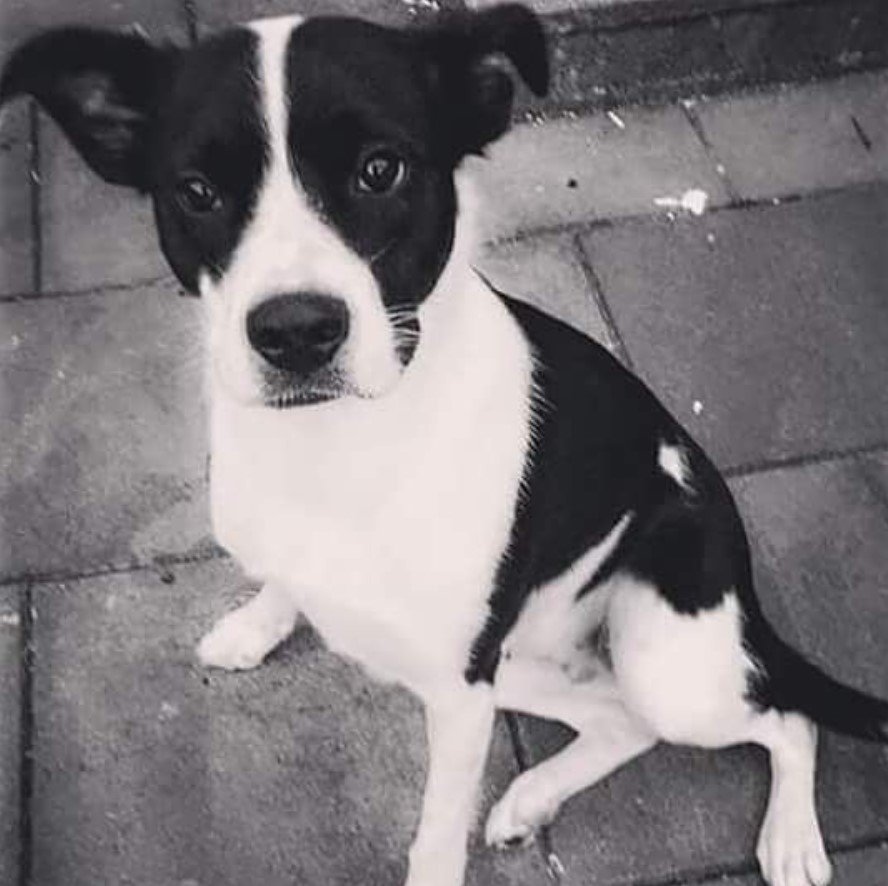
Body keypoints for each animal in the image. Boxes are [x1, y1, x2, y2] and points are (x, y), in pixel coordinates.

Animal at [3, 6, 884, 886]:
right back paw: (532, 799)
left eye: (380, 169)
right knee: (622, 719)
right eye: (197, 191)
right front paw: (257, 623)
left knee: (783, 718)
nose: (295, 332)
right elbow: (283, 582)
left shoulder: (460, 694)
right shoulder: (447, 663)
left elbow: (434, 831)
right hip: (525, 660)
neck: (341, 447)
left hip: (666, 660)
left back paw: (790, 838)